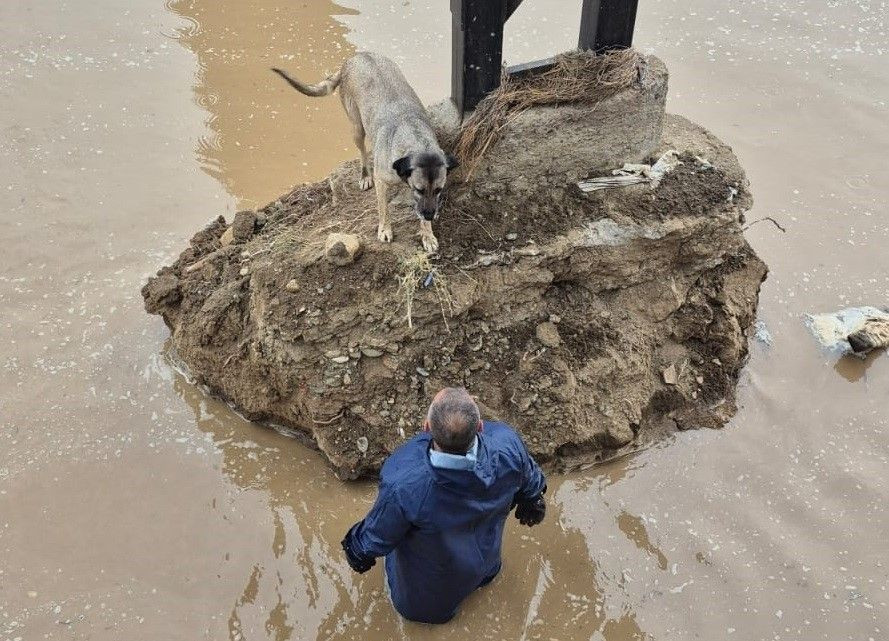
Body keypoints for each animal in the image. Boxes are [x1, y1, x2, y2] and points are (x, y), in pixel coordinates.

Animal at [272, 52, 458, 252]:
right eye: (419, 189)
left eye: (439, 189)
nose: (431, 215)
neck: (414, 138)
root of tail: (354, 57)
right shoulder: (382, 182)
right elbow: (383, 209)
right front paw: (385, 229)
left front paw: (428, 234)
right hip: (356, 127)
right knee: (361, 151)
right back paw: (365, 176)